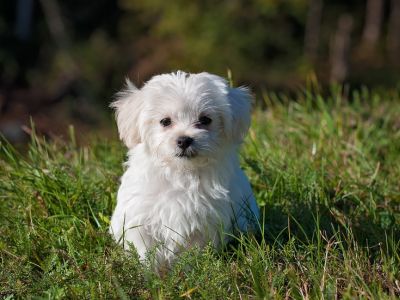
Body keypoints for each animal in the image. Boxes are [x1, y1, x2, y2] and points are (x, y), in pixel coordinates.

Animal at [109, 71, 260, 268]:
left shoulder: (204, 222)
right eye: (165, 121)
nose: (184, 140)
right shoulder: (140, 218)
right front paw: (150, 271)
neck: (180, 172)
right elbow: (145, 249)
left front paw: (187, 270)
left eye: (205, 120)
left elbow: (192, 251)